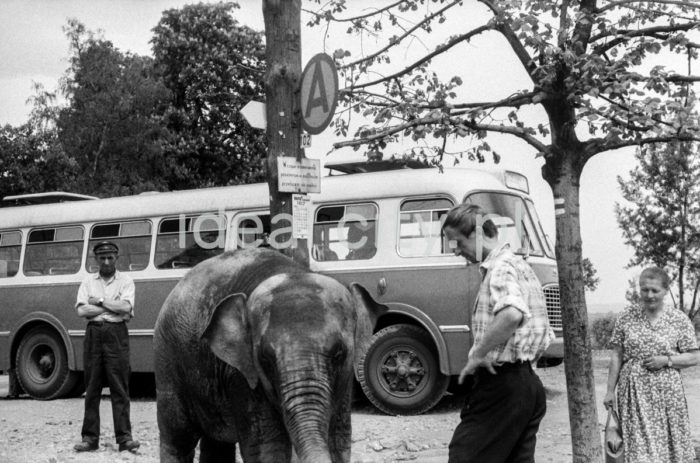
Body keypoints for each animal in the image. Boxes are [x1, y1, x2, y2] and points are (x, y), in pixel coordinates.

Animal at [152, 248, 388, 462]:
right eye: (265, 358)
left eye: (339, 354)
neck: (292, 271)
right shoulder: (242, 375)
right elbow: (268, 449)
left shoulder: (345, 382)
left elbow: (339, 442)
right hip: (167, 361)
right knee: (178, 438)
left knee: (217, 443)